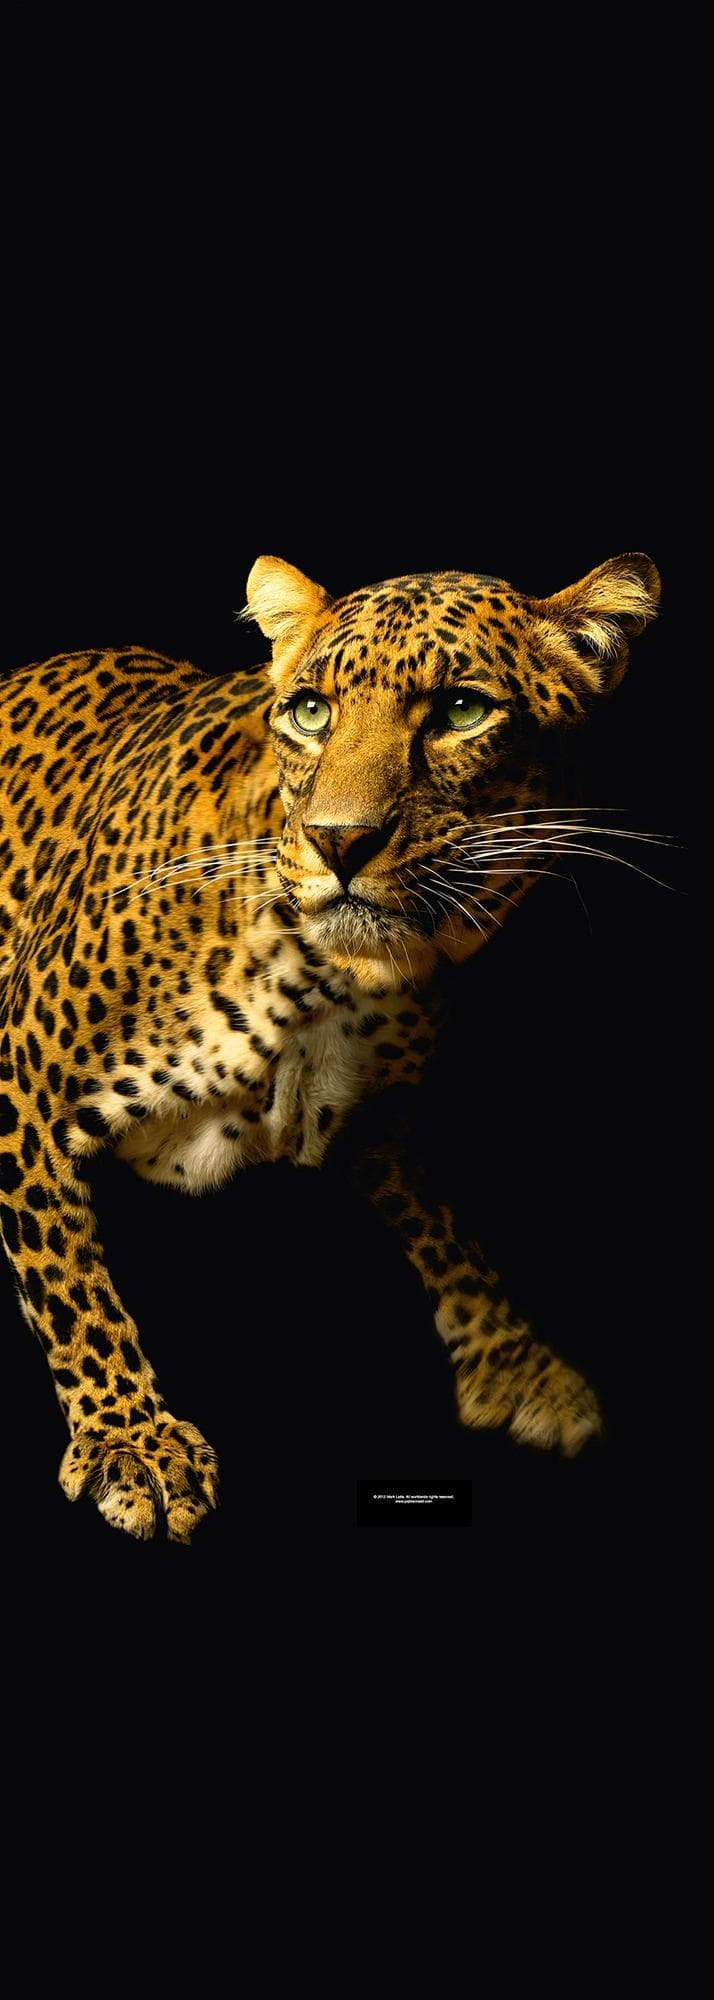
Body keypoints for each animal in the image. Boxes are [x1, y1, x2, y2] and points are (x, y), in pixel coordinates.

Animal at [0, 550, 660, 1542]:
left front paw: (514, 1361)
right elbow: (68, 1278)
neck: (319, 979)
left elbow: (441, 1222)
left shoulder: (371, 1120)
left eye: (460, 710)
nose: (339, 841)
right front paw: (132, 1440)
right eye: (310, 711)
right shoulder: (25, 1080)